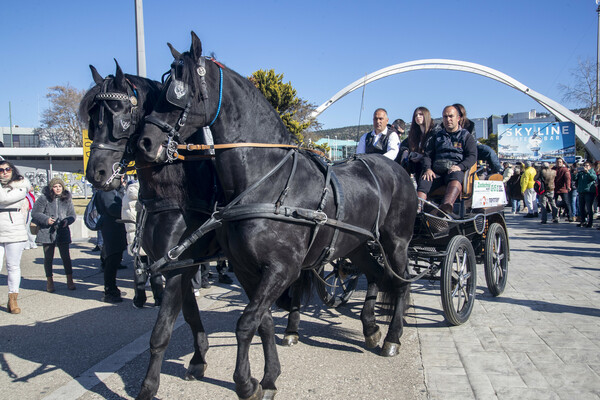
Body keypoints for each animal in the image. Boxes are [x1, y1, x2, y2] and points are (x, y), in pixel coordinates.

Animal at [79, 62, 220, 396]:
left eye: (120, 113)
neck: (176, 196)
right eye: (92, 119)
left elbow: (161, 332)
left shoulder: (176, 269)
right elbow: (190, 314)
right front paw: (199, 359)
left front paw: (148, 386)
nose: (95, 173)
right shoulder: (176, 265)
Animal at [138, 32, 418, 400]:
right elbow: (262, 322)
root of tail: (395, 169)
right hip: (356, 245)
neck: (265, 181)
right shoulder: (246, 269)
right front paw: (268, 378)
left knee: (400, 285)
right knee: (375, 276)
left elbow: (245, 323)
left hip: (396, 243)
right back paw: (371, 329)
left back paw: (392, 338)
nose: (145, 142)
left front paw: (245, 384)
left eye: (177, 91)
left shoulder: (282, 269)